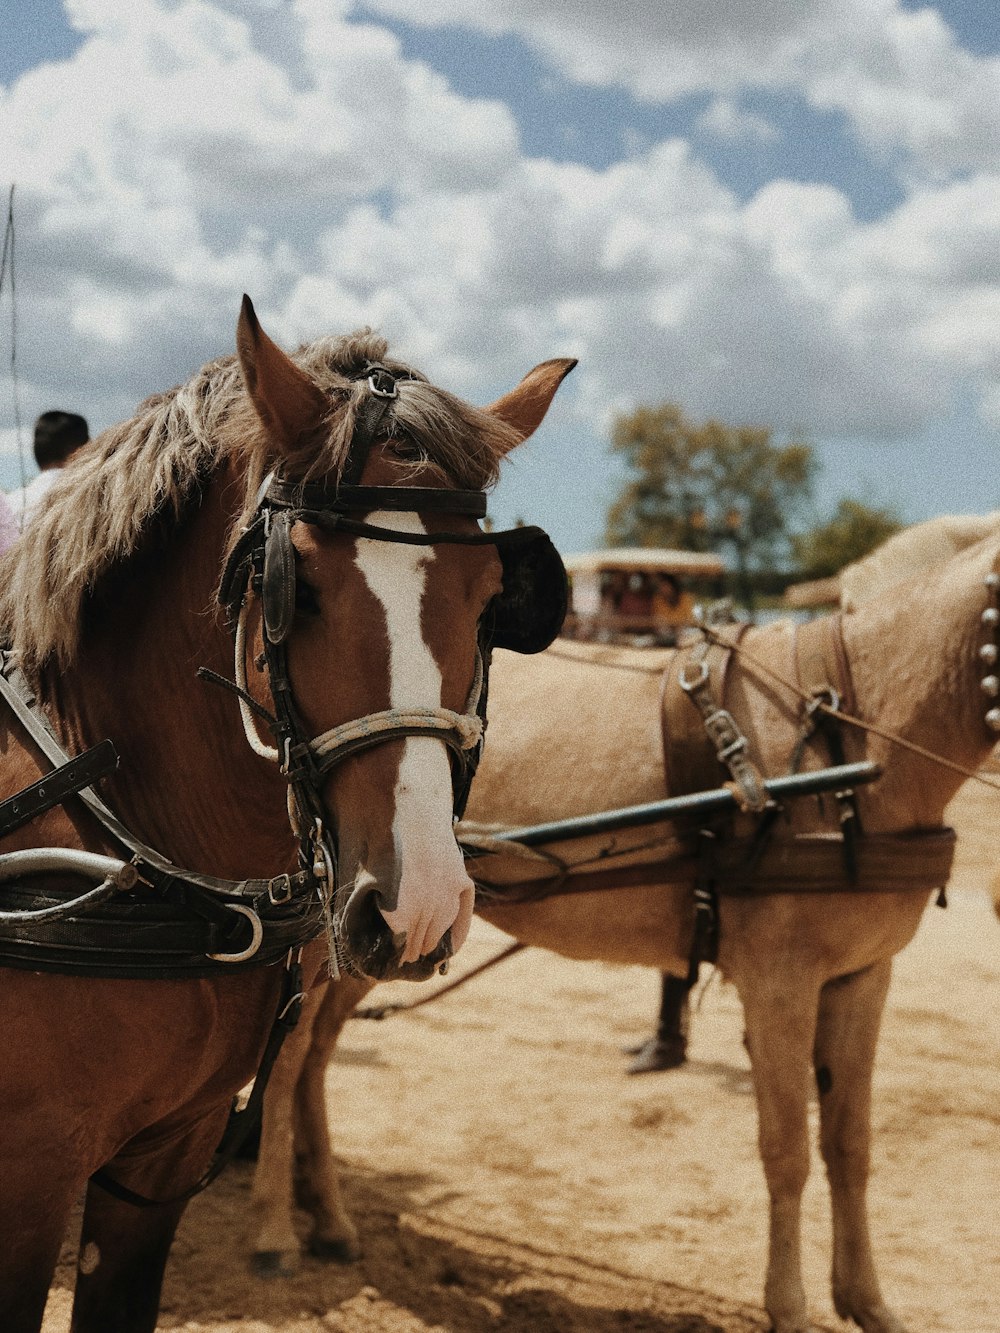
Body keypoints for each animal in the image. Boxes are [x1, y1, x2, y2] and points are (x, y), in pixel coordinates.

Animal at [249, 530, 1000, 1333]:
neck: (845, 728)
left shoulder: (861, 977)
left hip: (386, 934)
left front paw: (866, 1301)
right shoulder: (781, 983)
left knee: (315, 1060)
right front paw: (790, 1306)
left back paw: (327, 1215)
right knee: (288, 1063)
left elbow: (850, 1143)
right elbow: (788, 1149)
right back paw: (274, 1229)